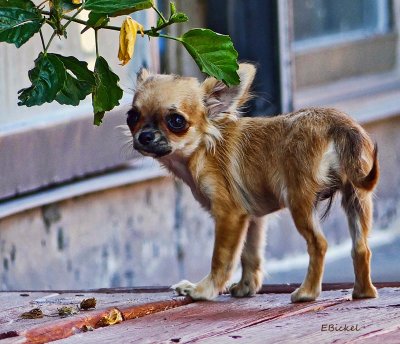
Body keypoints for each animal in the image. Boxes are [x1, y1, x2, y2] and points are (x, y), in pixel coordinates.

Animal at [126, 63, 378, 302]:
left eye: (176, 121)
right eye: (132, 117)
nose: (144, 136)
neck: (203, 150)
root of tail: (336, 124)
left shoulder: (229, 214)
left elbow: (223, 259)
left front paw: (203, 290)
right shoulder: (252, 217)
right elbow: (250, 254)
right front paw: (246, 287)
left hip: (300, 201)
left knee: (319, 244)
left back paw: (307, 292)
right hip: (356, 197)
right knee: (361, 247)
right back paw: (363, 292)